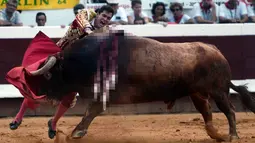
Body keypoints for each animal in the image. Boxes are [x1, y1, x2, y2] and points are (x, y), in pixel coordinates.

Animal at [19, 29, 253, 141]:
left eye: (48, 75)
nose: (33, 92)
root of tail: (216, 50)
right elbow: (91, 111)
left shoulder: (105, 94)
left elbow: (91, 111)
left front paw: (75, 134)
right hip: (197, 93)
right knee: (207, 113)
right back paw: (217, 136)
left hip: (218, 91)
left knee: (229, 111)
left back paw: (233, 136)